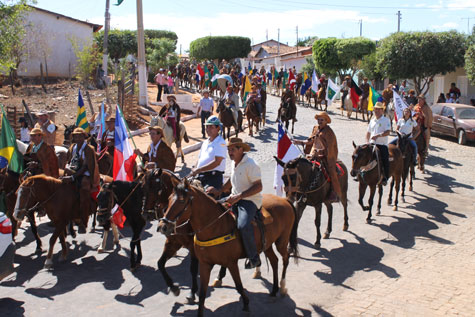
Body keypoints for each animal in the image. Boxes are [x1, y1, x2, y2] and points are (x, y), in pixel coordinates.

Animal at [161, 179, 302, 314]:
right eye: (168, 198)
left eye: (181, 200)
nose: (163, 226)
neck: (215, 226)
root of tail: (284, 200)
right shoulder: (204, 264)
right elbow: (202, 294)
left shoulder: (231, 263)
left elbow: (239, 285)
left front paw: (246, 303)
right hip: (267, 245)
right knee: (274, 261)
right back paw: (273, 290)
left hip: (281, 241)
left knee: (285, 258)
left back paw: (282, 287)